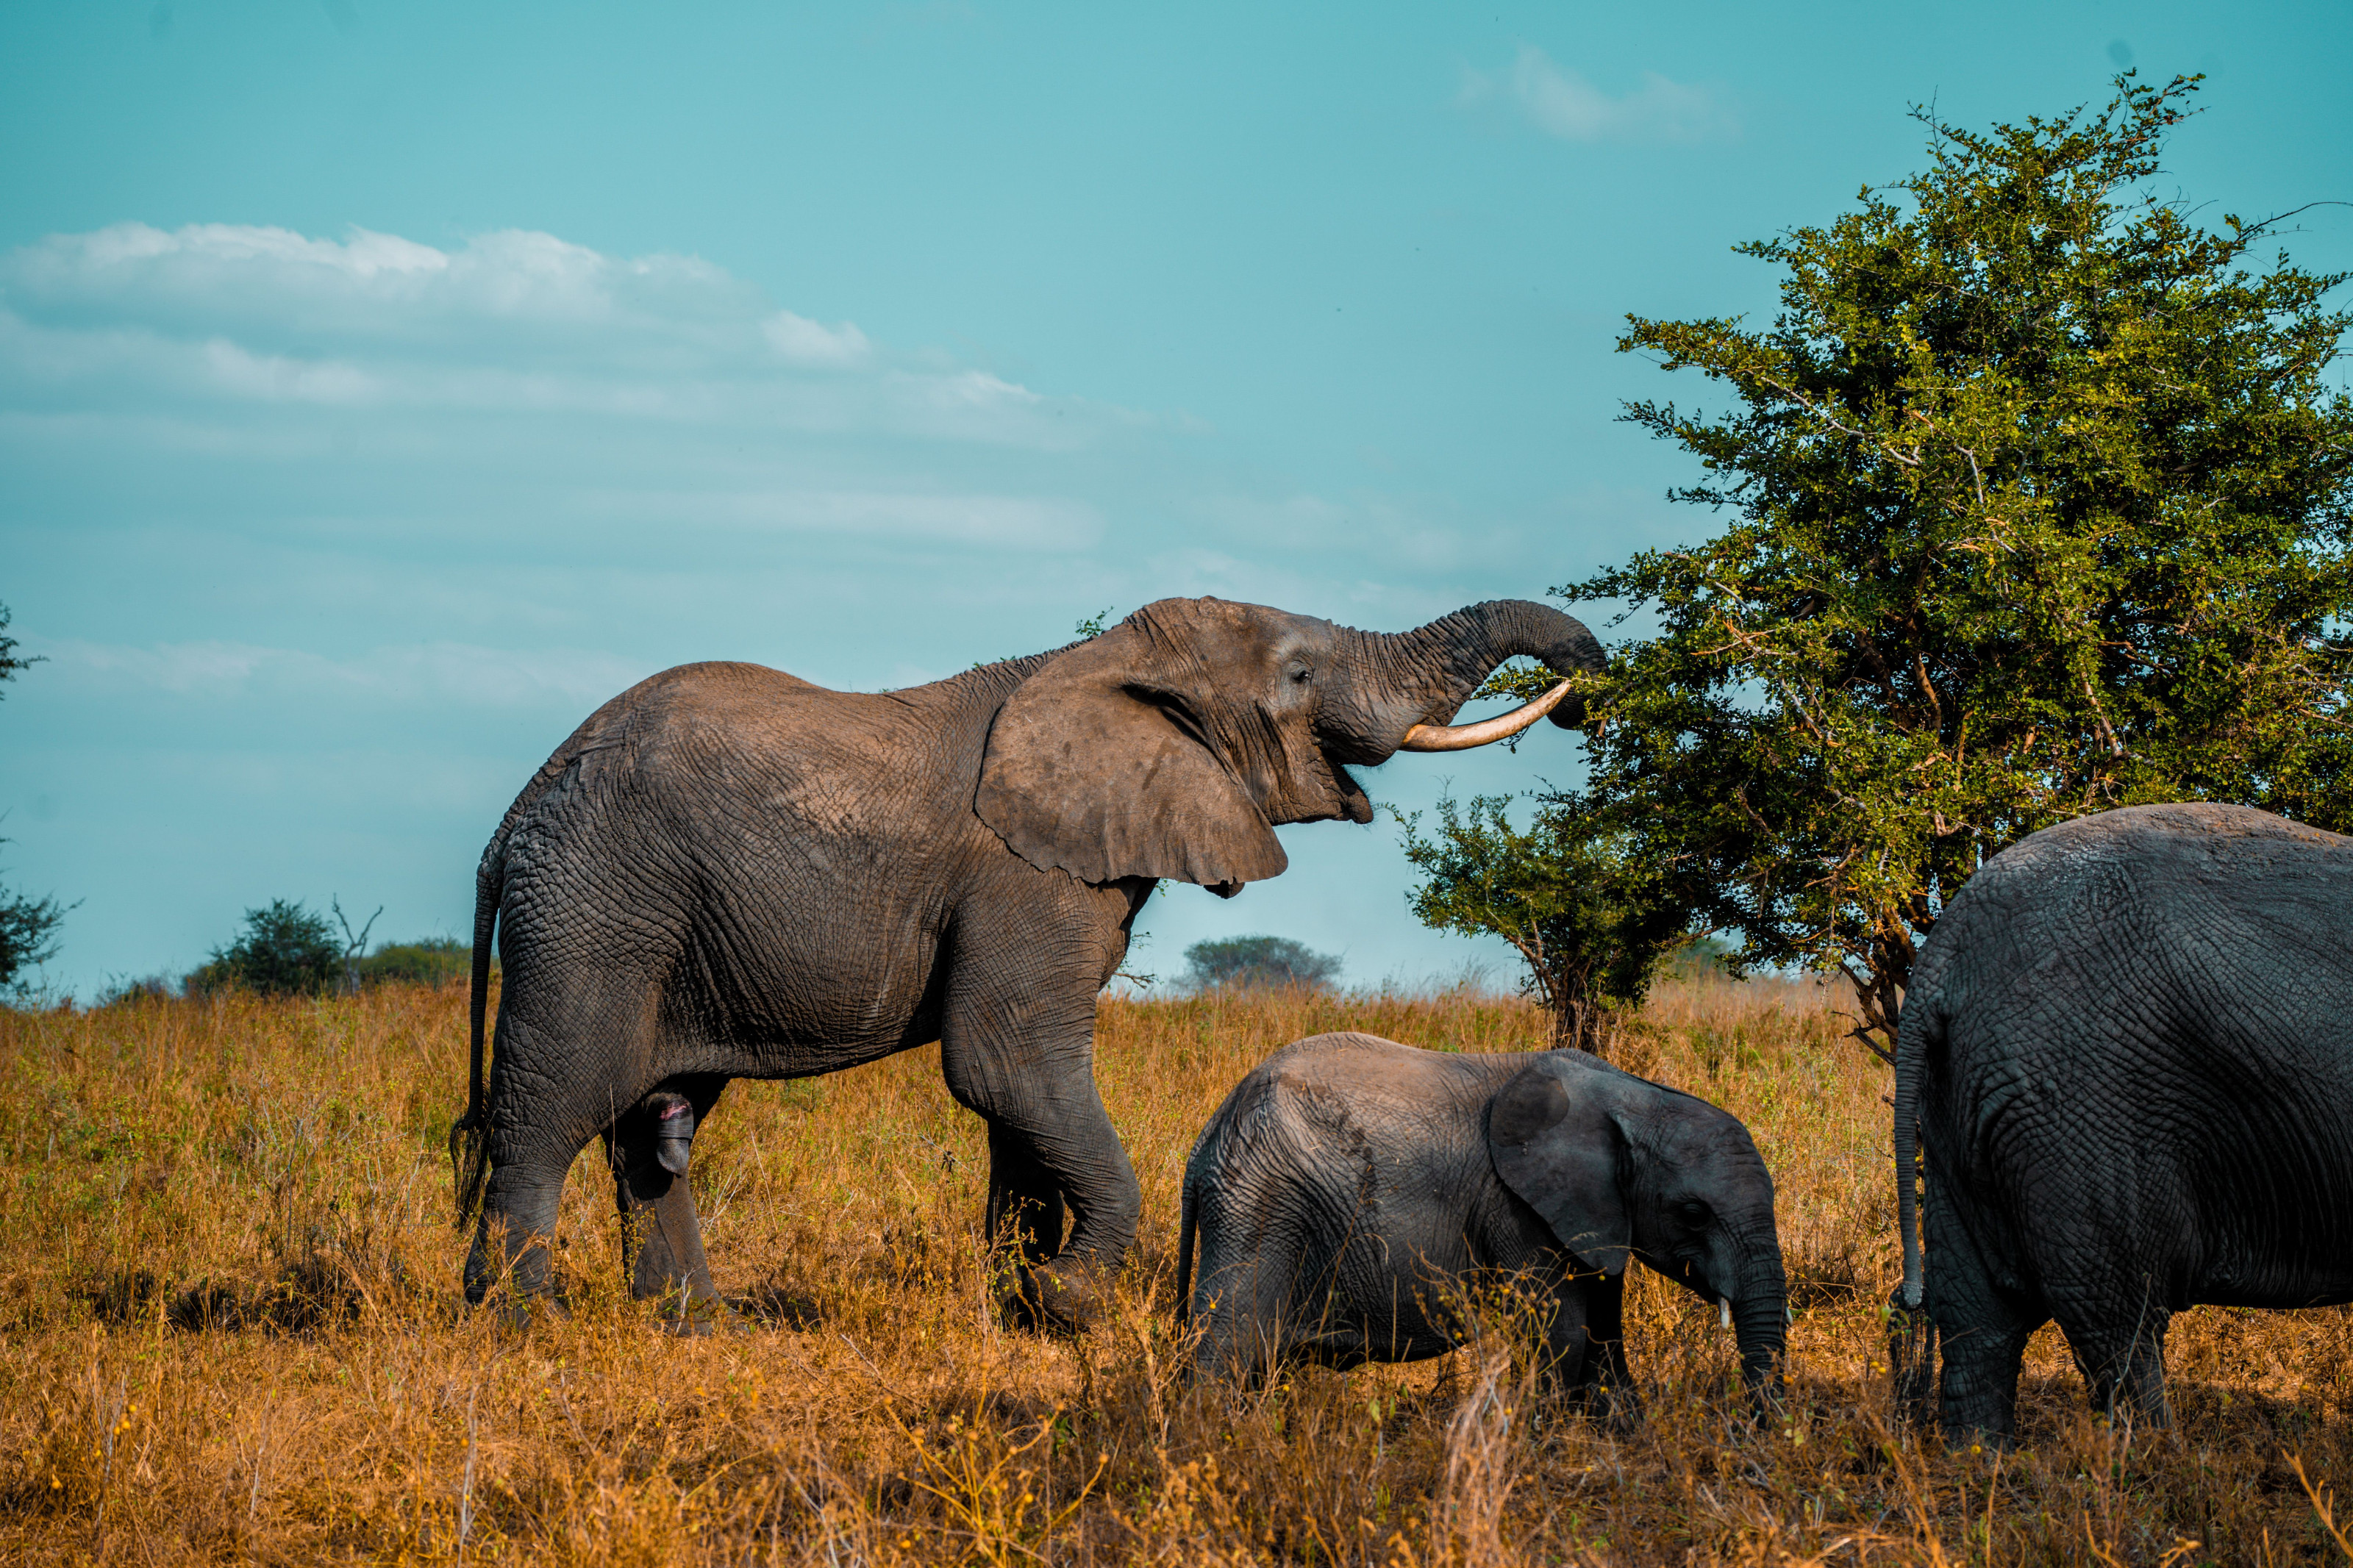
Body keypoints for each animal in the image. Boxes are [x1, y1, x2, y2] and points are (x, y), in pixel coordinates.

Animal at [449, 595, 1605, 1329]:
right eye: (1299, 674)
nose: (1589, 693)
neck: (1099, 665)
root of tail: (511, 820)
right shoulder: (1021, 877)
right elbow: (1007, 1067)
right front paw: (1069, 1303)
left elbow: (1020, 1102)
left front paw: (1020, 1310)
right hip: (594, 910)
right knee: (554, 1107)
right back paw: (522, 1326)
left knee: (656, 1123)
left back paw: (699, 1328)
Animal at [1175, 1033, 1788, 1412]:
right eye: (1694, 1213)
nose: (1754, 1428)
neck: (1630, 1095)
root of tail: (1206, 1141)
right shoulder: (1515, 1207)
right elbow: (1560, 1333)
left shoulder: (1597, 1218)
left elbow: (1604, 1337)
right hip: (1261, 1200)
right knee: (1227, 1346)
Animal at [1892, 802, 2353, 1441]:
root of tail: (1941, 956)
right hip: (2086, 1107)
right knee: (2119, 1321)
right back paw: (2162, 1460)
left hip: (1960, 1102)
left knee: (1978, 1321)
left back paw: (1981, 1457)